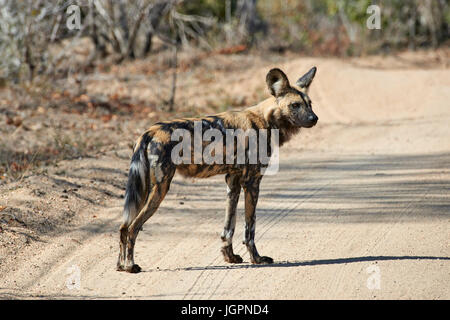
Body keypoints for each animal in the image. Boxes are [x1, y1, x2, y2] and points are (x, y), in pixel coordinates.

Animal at [118, 67, 318, 272]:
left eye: (309, 104)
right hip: (160, 188)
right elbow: (250, 228)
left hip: (142, 191)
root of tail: (149, 132)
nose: (314, 118)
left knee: (124, 227)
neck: (265, 121)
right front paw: (257, 258)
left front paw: (230, 257)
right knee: (133, 228)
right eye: (295, 105)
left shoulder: (233, 182)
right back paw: (130, 266)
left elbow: (229, 227)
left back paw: (121, 266)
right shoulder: (252, 183)